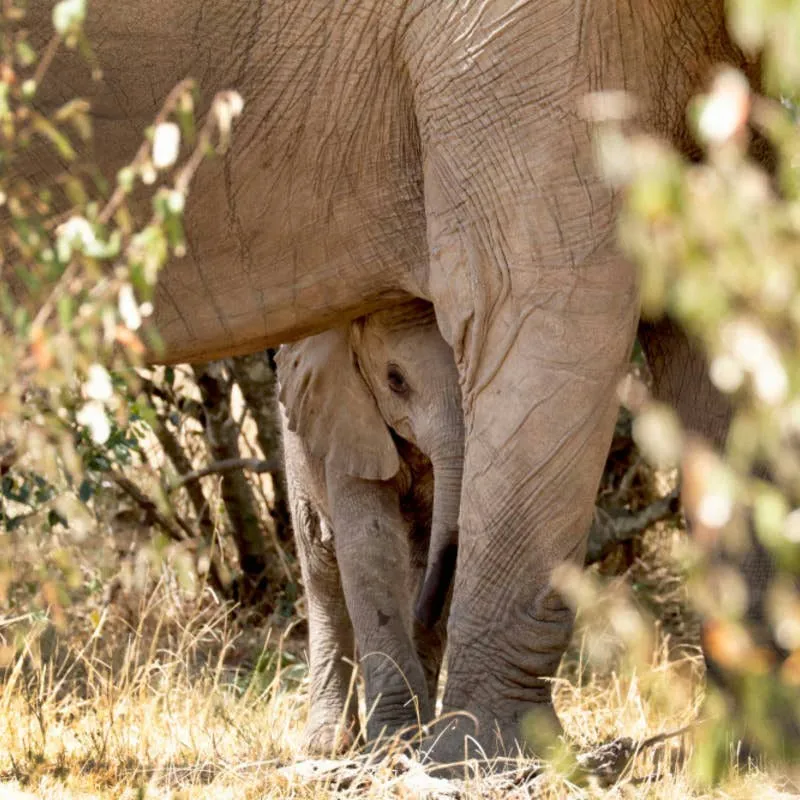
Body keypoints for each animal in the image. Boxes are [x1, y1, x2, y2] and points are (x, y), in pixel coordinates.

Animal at [275, 299, 462, 752]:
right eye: (395, 380)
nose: (422, 611)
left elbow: (427, 546)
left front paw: (417, 733)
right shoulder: (343, 421)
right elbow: (369, 545)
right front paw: (395, 740)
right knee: (322, 573)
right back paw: (329, 745)